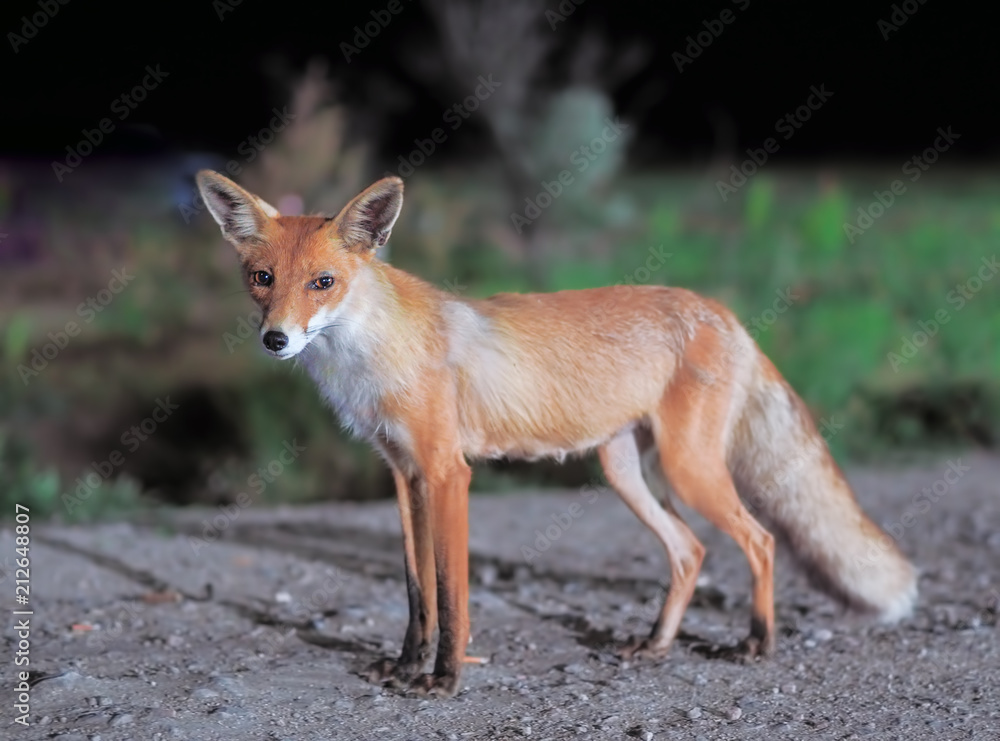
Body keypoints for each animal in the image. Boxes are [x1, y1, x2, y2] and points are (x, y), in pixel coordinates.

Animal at [195, 169, 918, 698]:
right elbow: (417, 591)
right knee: (690, 550)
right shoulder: (403, 474)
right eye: (263, 280)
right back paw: (656, 643)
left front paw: (444, 679)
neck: (370, 358)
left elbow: (451, 595)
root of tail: (720, 309)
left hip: (689, 471)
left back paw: (757, 643)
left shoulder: (448, 473)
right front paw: (405, 667)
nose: (276, 339)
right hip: (628, 472)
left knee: (761, 540)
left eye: (323, 283)